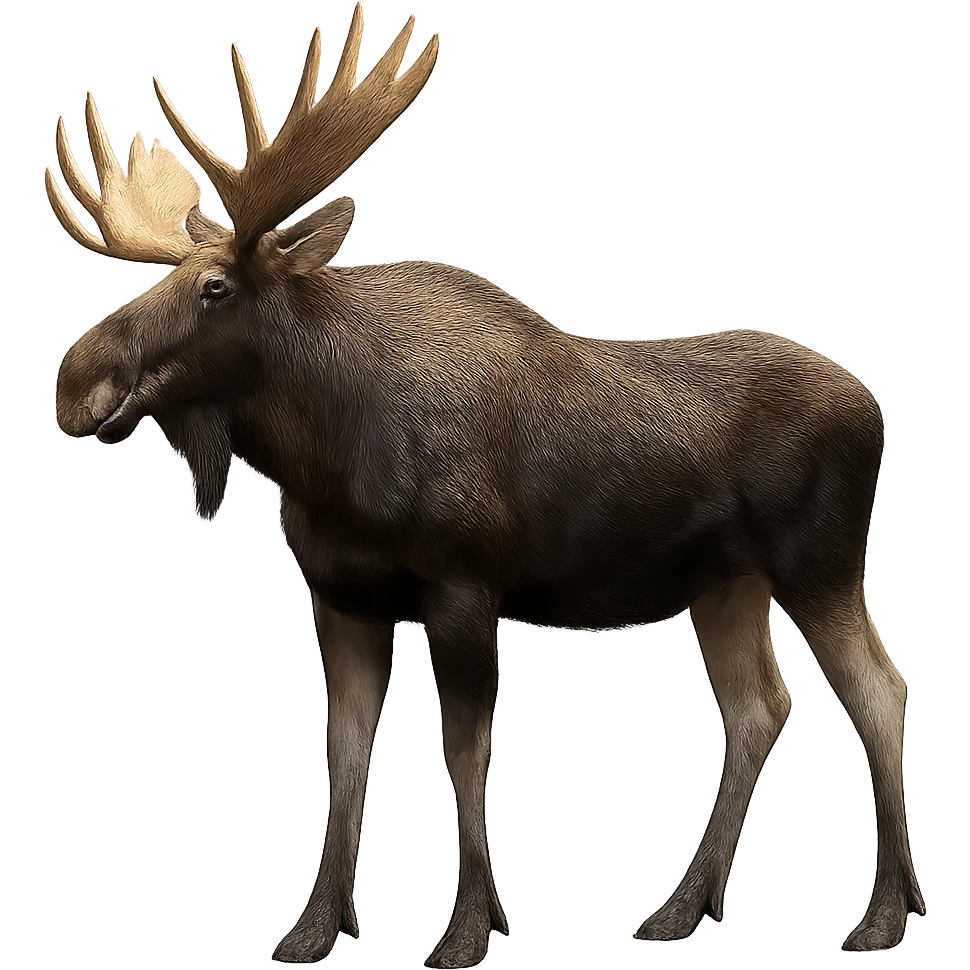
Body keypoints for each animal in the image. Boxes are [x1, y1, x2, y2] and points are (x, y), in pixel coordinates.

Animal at [46, 5, 924, 966]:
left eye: (213, 287)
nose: (72, 383)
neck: (324, 459)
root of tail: (876, 408)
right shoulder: (340, 600)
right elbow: (345, 758)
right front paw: (313, 931)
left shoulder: (464, 585)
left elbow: (464, 752)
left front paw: (467, 931)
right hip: (726, 585)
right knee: (760, 706)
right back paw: (676, 910)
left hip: (821, 564)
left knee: (879, 689)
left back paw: (882, 915)